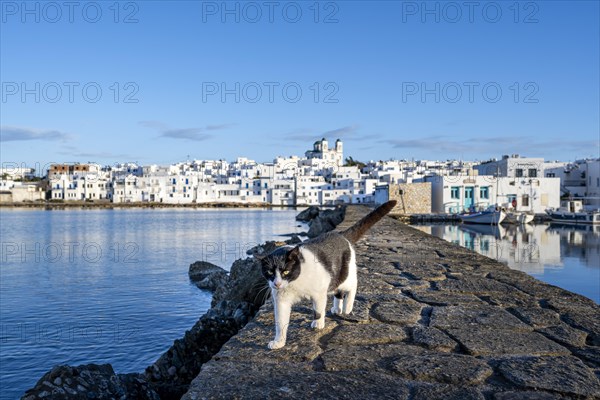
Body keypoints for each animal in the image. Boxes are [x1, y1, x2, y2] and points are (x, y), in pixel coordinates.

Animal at [255, 202, 396, 348]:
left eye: (285, 271)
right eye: (269, 272)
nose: (276, 283)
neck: (295, 282)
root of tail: (341, 235)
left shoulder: (319, 293)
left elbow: (318, 310)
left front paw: (318, 323)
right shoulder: (281, 300)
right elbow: (280, 323)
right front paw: (279, 342)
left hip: (343, 275)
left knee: (352, 285)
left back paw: (347, 307)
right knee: (338, 292)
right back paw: (337, 308)